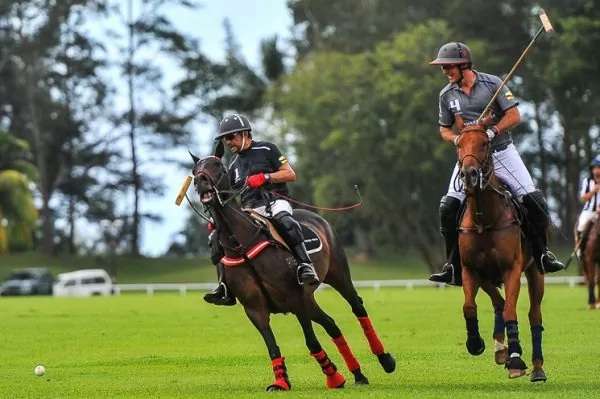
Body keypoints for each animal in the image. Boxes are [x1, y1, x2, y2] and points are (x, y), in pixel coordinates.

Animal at [192, 155, 396, 390]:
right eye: (194, 170)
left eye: (219, 167)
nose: (200, 182)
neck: (241, 244)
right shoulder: (254, 308)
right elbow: (272, 346)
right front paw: (281, 381)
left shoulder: (294, 298)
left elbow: (311, 341)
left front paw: (333, 377)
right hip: (309, 299)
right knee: (331, 324)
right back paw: (358, 374)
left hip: (337, 275)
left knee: (357, 307)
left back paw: (385, 360)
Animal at [454, 126, 548, 382]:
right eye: (459, 144)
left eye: (485, 143)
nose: (469, 174)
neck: (484, 220)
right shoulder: (470, 270)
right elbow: (469, 306)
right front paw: (475, 343)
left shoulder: (511, 269)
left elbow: (510, 310)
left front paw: (516, 359)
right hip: (486, 277)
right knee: (498, 302)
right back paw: (500, 349)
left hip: (535, 271)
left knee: (534, 316)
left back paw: (537, 368)